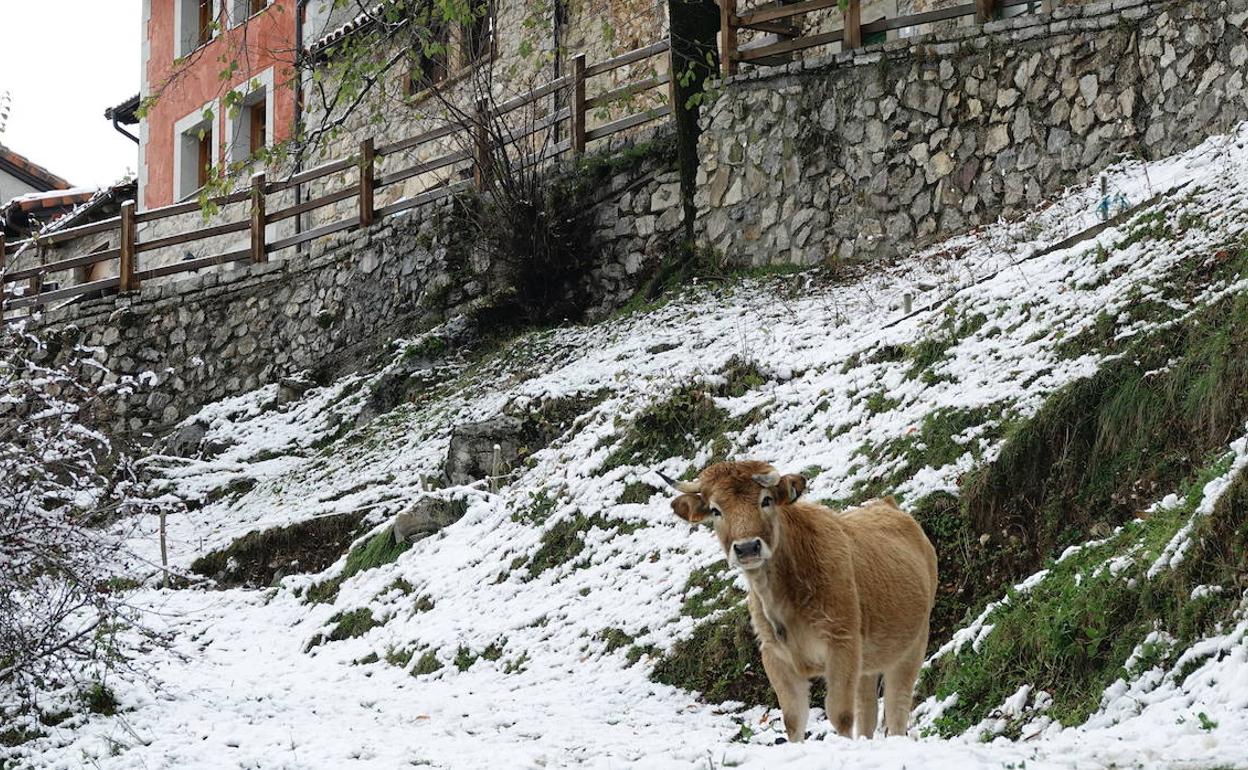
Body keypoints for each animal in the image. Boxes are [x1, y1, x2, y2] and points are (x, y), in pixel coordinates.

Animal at [668, 459, 933, 743]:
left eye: (766, 500)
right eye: (716, 510)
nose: (748, 548)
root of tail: (887, 504)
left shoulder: (842, 643)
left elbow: (840, 714)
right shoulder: (774, 655)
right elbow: (793, 719)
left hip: (912, 646)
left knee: (896, 708)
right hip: (868, 662)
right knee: (867, 710)